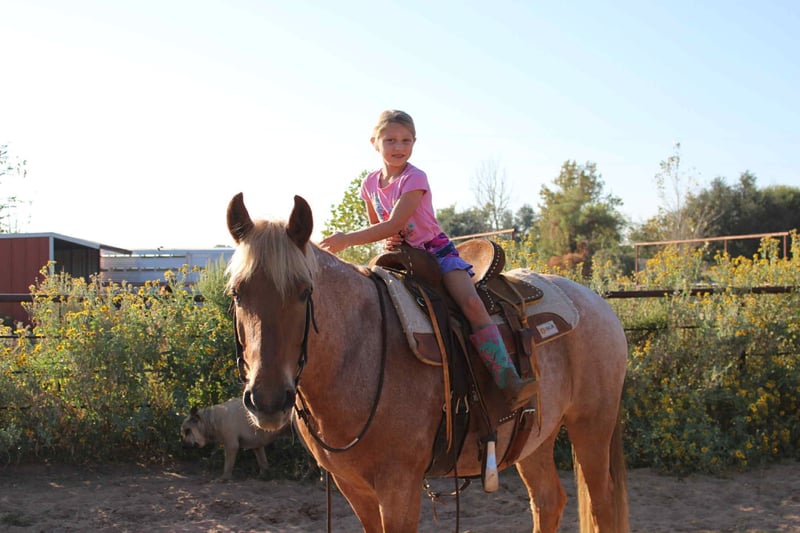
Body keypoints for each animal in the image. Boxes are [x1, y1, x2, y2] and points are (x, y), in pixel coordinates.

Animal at [225, 193, 629, 533]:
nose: (267, 401)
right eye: (237, 294)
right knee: (548, 501)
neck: (360, 348)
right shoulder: (353, 486)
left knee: (602, 506)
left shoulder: (399, 486)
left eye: (304, 291)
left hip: (592, 424)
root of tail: (597, 301)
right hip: (534, 437)